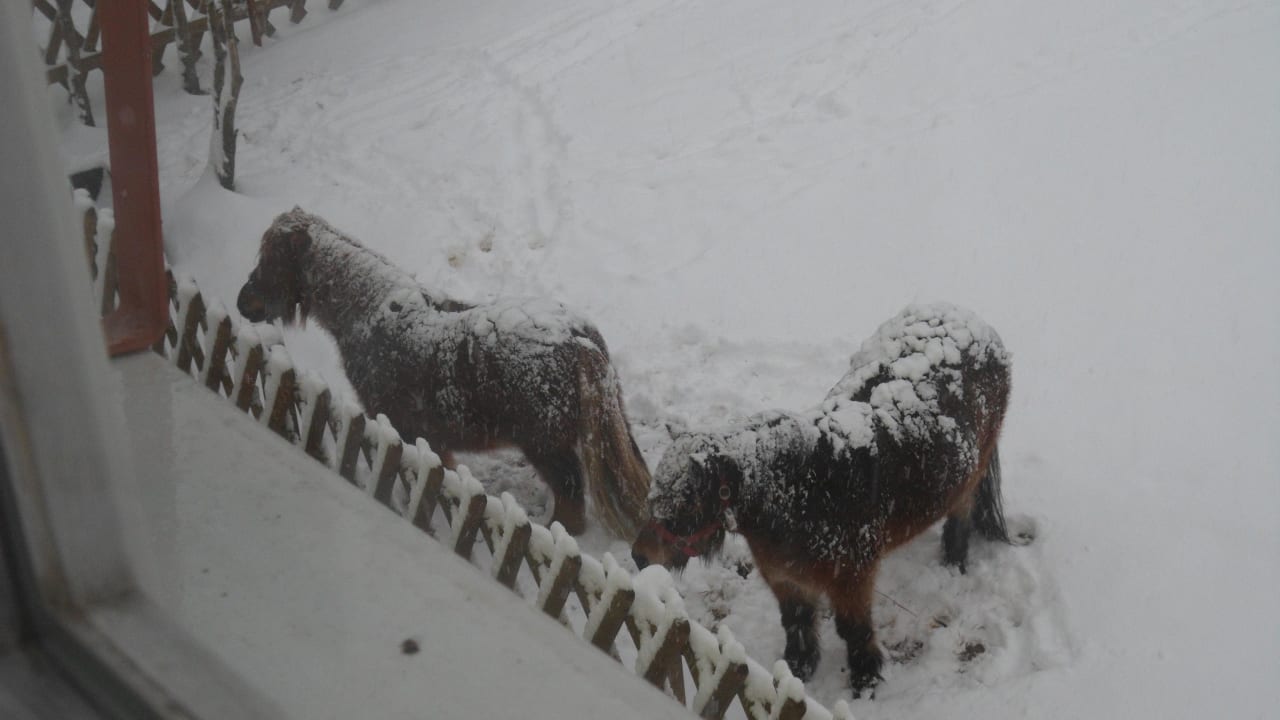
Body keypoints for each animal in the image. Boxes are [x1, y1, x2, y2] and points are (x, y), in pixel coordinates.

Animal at [236, 207, 650, 538]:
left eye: (271, 260)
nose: (243, 302)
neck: (370, 314)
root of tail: (579, 339)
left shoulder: (405, 430)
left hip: (547, 448)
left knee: (571, 505)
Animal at [631, 303, 1012, 696]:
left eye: (687, 502)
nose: (639, 556)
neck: (803, 494)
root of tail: (966, 316)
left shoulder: (851, 580)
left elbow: (854, 631)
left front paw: (865, 681)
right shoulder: (784, 578)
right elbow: (796, 621)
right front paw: (798, 668)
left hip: (972, 474)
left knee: (962, 513)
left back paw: (954, 561)